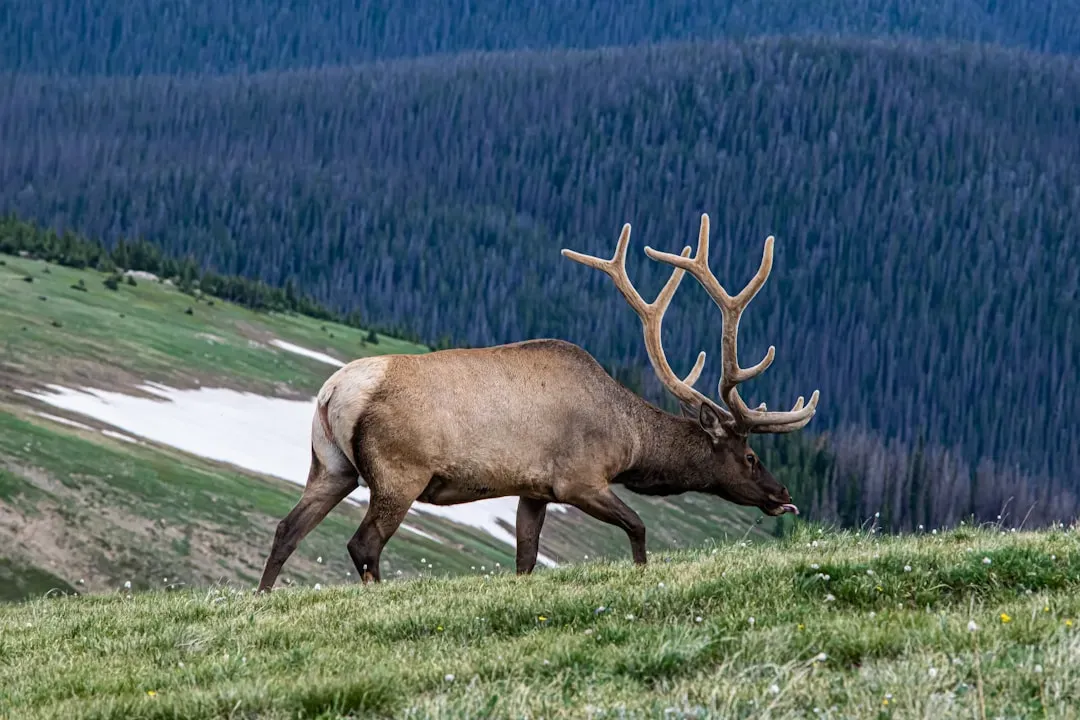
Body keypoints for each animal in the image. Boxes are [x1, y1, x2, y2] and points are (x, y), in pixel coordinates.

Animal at [256, 214, 819, 592]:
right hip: (399, 471)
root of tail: (333, 392)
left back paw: (262, 598)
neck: (630, 441)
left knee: (287, 529)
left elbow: (525, 558)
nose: (783, 493)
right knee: (363, 544)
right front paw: (642, 574)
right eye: (750, 455)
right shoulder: (579, 478)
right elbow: (638, 527)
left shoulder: (534, 489)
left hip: (330, 465)